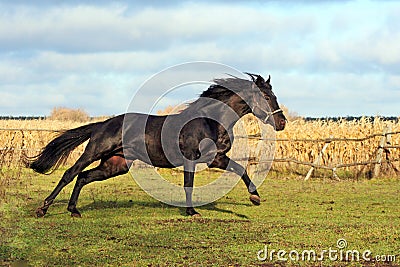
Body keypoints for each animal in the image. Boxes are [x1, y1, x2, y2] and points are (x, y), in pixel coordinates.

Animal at [27, 73, 284, 218]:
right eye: (266, 97)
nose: (282, 122)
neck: (209, 121)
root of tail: (103, 124)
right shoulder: (191, 158)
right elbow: (188, 185)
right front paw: (191, 212)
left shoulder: (216, 158)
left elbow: (240, 169)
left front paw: (255, 198)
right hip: (94, 152)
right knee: (70, 173)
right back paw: (43, 209)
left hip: (115, 165)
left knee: (83, 177)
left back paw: (74, 210)